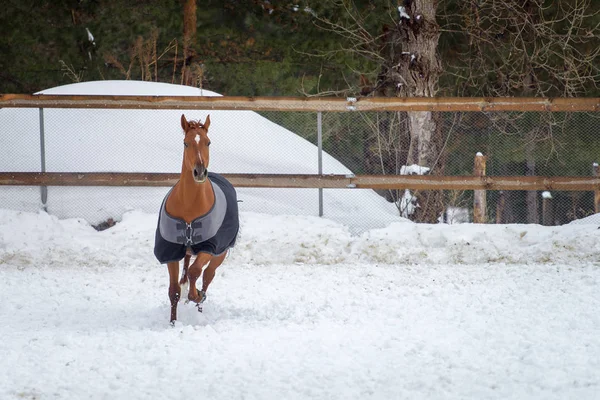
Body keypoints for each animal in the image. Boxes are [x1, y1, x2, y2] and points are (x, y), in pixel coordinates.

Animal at [155, 114, 239, 324]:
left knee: (208, 275)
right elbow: (174, 290)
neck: (190, 207)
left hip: (220, 253)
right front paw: (173, 323)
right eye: (186, 143)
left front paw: (195, 295)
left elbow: (195, 272)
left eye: (208, 142)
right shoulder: (171, 251)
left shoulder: (209, 247)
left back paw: (200, 302)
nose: (199, 172)